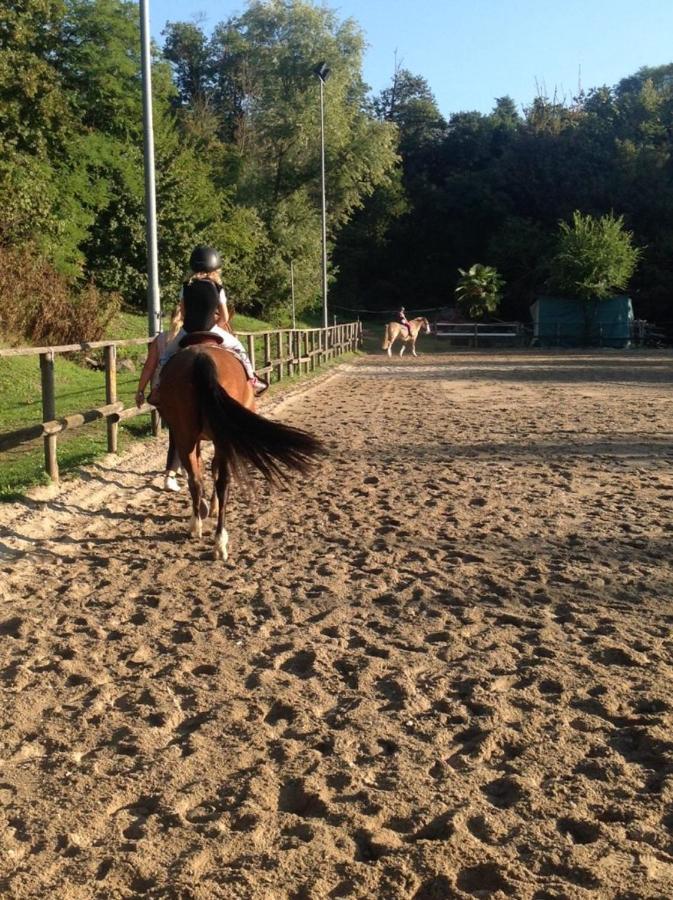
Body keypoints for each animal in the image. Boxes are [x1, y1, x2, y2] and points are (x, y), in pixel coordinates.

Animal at [160, 338, 322, 560]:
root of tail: (201, 357)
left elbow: (202, 470)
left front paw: (206, 508)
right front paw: (211, 507)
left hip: (186, 434)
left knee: (195, 480)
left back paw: (196, 526)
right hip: (217, 438)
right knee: (222, 482)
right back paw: (220, 542)